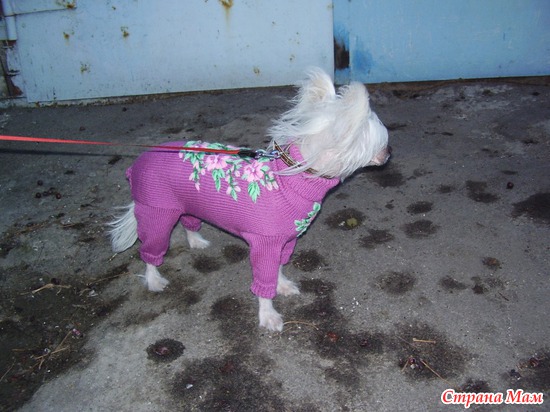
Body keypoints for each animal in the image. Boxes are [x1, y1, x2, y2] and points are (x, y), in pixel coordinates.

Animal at [109, 68, 390, 331]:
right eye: (379, 143)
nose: (389, 154)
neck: (294, 176)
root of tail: (138, 163)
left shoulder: (284, 242)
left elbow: (277, 269)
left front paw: (282, 285)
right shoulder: (265, 244)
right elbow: (264, 281)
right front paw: (268, 315)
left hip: (185, 205)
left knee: (188, 222)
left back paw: (196, 241)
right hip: (157, 214)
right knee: (150, 251)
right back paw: (154, 279)